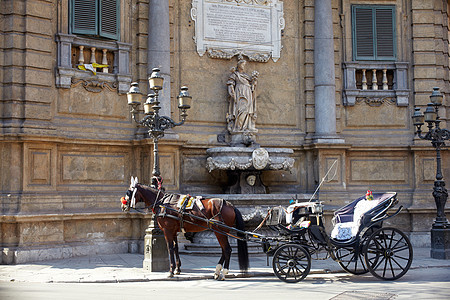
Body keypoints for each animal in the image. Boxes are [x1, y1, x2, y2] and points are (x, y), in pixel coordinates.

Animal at [120, 176, 250, 278]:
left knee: (227, 249)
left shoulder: (167, 231)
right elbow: (176, 248)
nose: (123, 206)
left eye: (128, 192)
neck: (162, 203)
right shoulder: (174, 231)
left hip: (220, 231)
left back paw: (224, 272)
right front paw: (177, 269)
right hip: (220, 232)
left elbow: (170, 248)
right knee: (224, 250)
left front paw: (171, 270)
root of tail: (231, 205)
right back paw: (217, 271)